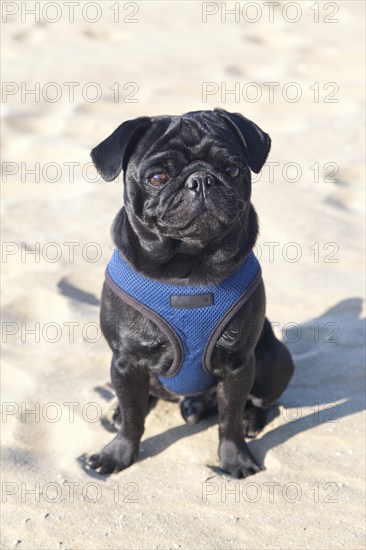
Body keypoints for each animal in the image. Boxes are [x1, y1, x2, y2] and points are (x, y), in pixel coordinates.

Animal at [88, 109, 294, 478]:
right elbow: (133, 418)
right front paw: (118, 454)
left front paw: (236, 459)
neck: (187, 269)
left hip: (274, 359)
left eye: (232, 169)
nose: (201, 180)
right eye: (158, 177)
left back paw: (252, 420)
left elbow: (229, 420)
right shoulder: (125, 361)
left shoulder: (239, 364)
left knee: (260, 401)